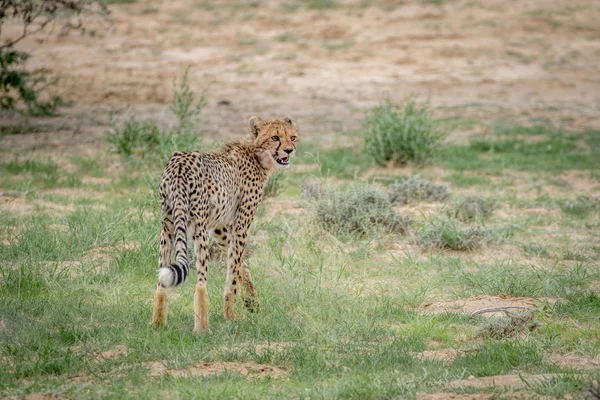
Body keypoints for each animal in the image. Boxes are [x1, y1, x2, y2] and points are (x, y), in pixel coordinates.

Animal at [151, 115, 298, 332]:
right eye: (275, 137)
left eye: (293, 137)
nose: (289, 150)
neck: (256, 155)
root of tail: (179, 163)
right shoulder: (240, 224)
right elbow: (235, 267)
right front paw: (231, 315)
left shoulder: (220, 227)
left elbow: (241, 264)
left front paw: (251, 302)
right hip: (199, 230)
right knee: (200, 282)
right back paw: (202, 328)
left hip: (168, 226)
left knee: (161, 280)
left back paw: (157, 324)